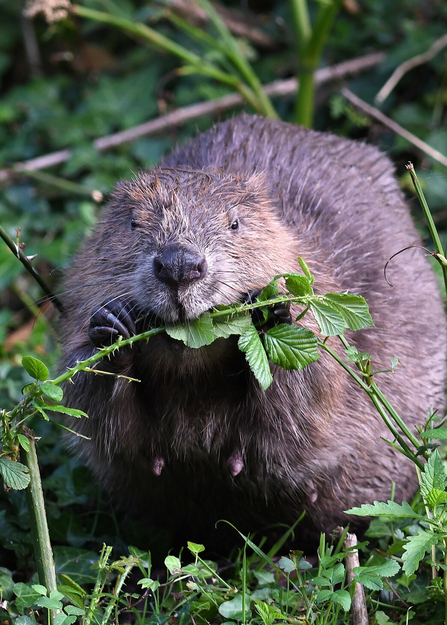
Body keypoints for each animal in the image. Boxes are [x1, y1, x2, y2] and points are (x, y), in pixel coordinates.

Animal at [60, 113, 447, 552]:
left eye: (235, 223)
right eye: (132, 222)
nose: (179, 265)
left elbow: (304, 406)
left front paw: (269, 311)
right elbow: (106, 426)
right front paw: (112, 327)